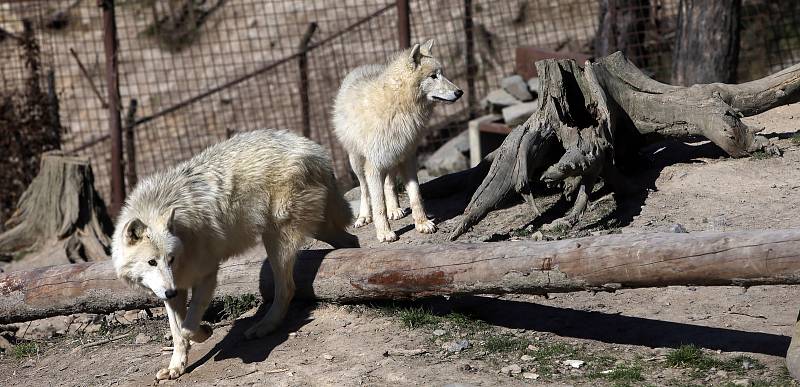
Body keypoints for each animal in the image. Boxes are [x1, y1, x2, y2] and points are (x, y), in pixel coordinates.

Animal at [109, 129, 356, 380]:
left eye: (170, 259)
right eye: (152, 262)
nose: (170, 291)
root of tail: (315, 149)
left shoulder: (206, 275)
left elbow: (187, 327)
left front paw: (204, 331)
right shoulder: (174, 288)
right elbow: (177, 331)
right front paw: (176, 366)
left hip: (277, 240)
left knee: (287, 288)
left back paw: (265, 326)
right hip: (318, 228)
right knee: (351, 240)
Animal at [334, 38, 466, 242]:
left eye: (442, 74)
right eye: (433, 76)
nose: (459, 92)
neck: (399, 106)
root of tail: (361, 67)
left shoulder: (408, 158)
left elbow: (416, 195)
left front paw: (422, 223)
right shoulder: (373, 166)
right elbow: (378, 204)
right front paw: (384, 233)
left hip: (392, 157)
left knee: (389, 183)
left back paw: (394, 210)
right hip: (357, 161)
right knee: (364, 188)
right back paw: (364, 216)